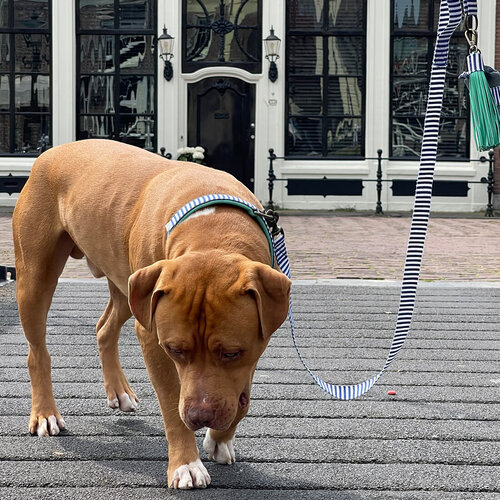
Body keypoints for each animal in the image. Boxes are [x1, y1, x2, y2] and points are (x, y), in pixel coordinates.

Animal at [11, 140, 292, 488]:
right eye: (175, 350)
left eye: (231, 353)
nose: (200, 417)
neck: (212, 231)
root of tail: (51, 152)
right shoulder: (153, 338)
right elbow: (172, 403)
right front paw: (186, 464)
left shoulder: (255, 342)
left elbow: (242, 397)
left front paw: (220, 438)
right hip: (36, 278)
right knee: (37, 351)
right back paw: (45, 413)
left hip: (130, 288)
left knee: (105, 328)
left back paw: (119, 391)